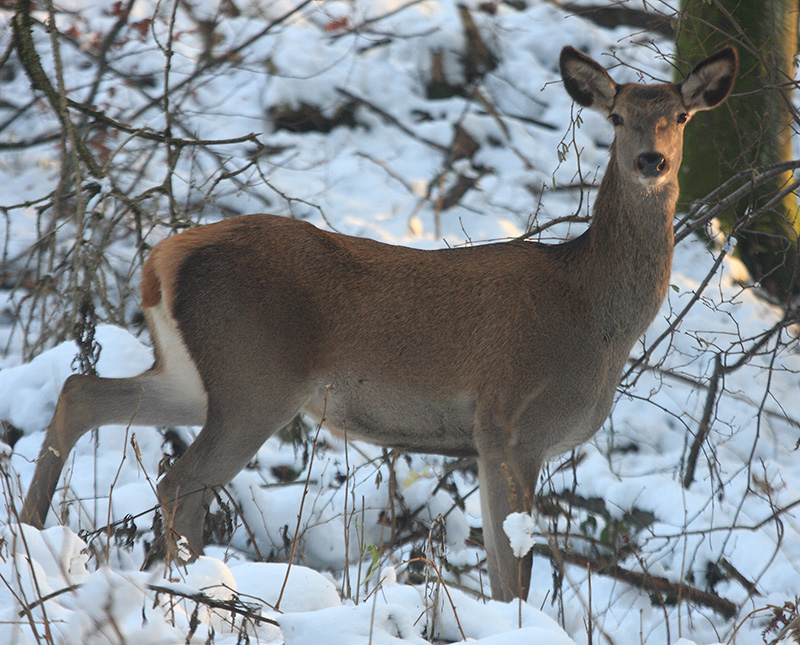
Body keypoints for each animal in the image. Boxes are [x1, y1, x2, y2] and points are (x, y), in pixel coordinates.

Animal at [20, 45, 736, 600]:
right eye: (616, 117)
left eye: (678, 117)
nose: (651, 162)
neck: (594, 319)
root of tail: (163, 260)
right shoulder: (509, 423)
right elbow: (513, 575)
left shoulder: (491, 439)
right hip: (256, 378)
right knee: (179, 481)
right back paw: (193, 590)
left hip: (197, 376)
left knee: (82, 393)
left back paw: (32, 538)